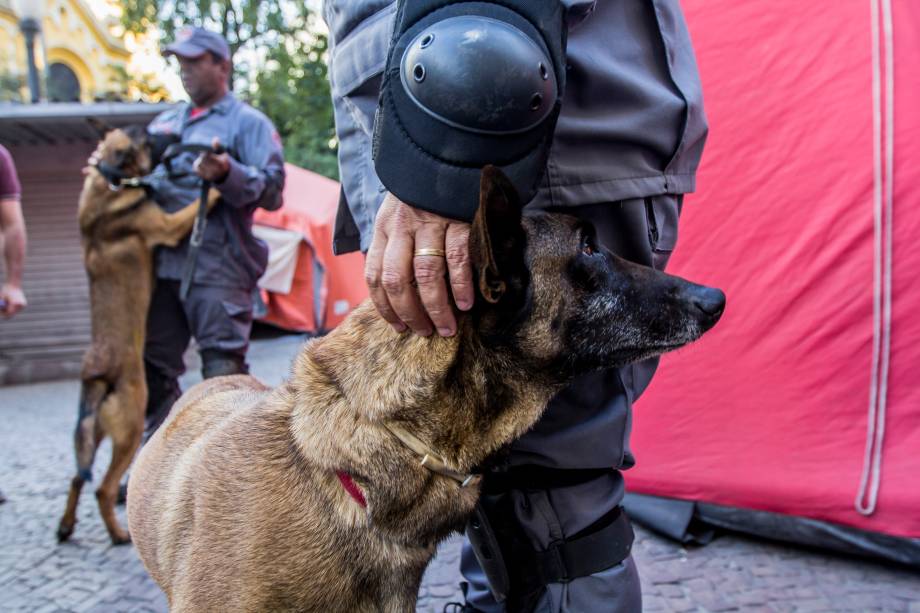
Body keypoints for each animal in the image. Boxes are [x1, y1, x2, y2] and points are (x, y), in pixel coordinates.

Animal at [56, 124, 219, 544]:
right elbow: (191, 210)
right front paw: (216, 189)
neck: (110, 181)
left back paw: (66, 526)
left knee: (78, 478)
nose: (174, 133)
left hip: (94, 434)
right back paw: (118, 533)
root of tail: (95, 373)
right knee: (102, 487)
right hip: (130, 427)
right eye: (147, 136)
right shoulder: (166, 226)